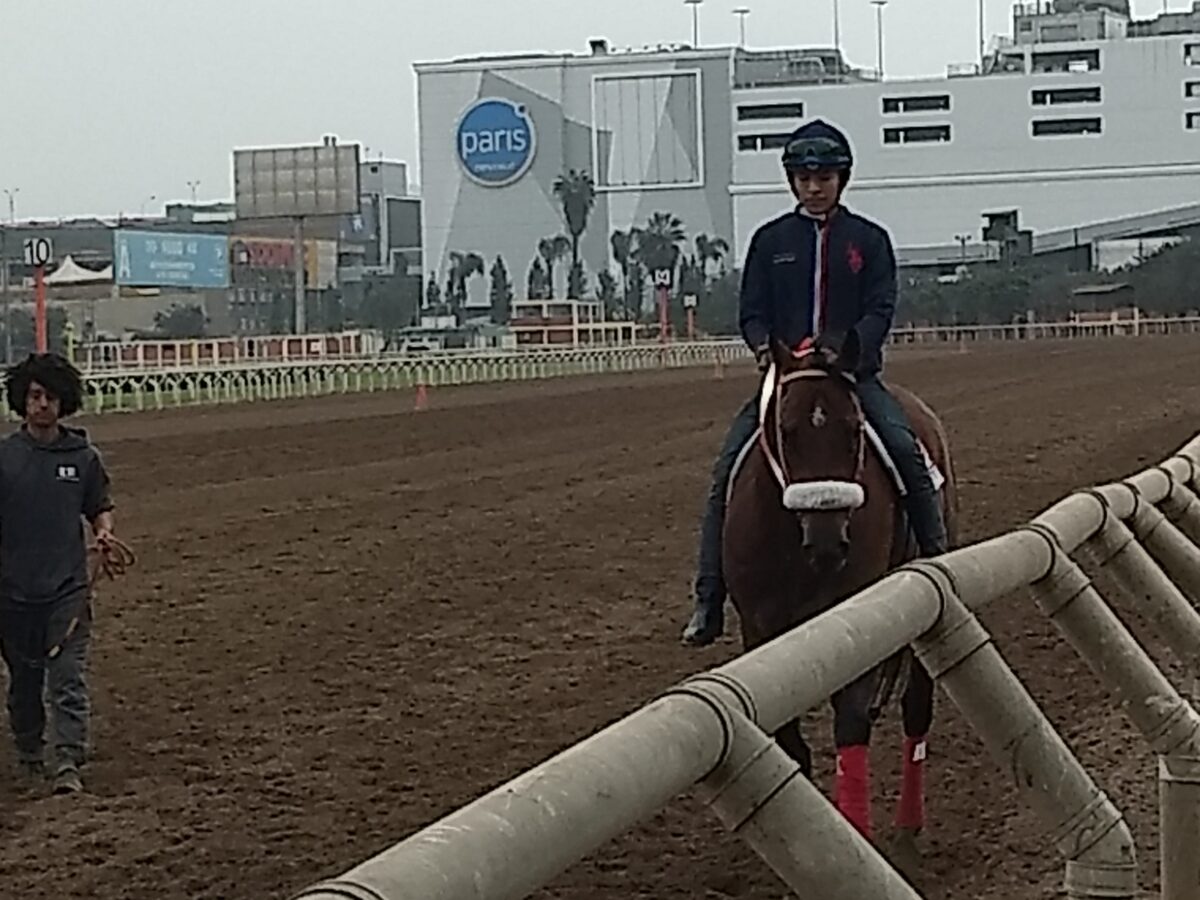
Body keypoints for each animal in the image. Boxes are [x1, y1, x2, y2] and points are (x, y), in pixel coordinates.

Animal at [721, 334, 959, 871]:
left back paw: (908, 830)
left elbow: (851, 723)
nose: (829, 542)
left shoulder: (860, 615)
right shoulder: (761, 628)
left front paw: (856, 840)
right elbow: (789, 741)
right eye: (787, 430)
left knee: (916, 708)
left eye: (853, 431)